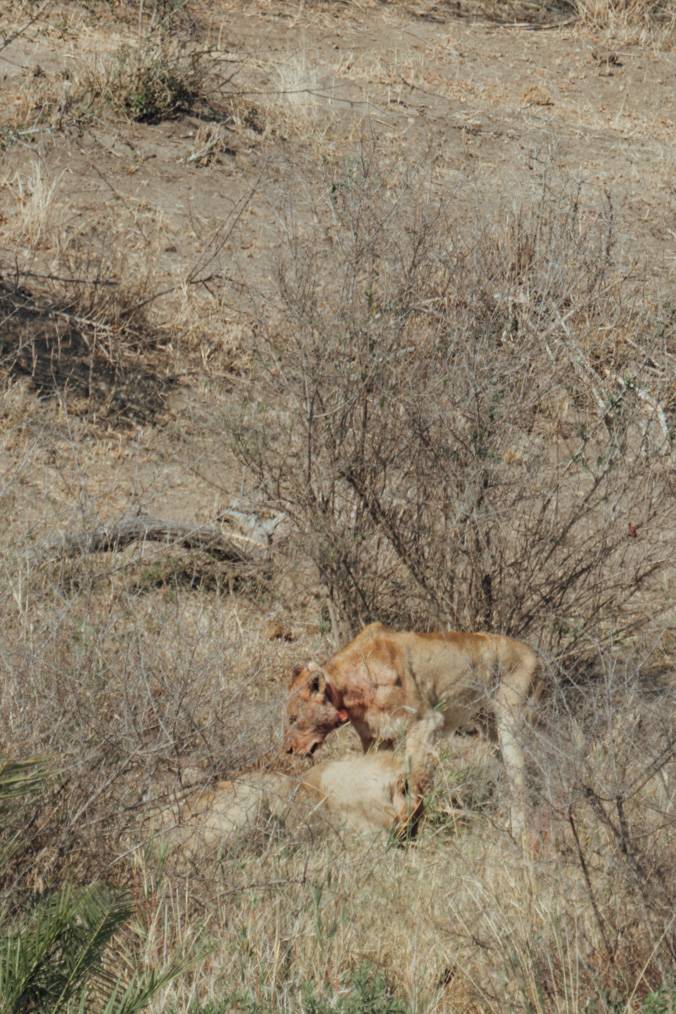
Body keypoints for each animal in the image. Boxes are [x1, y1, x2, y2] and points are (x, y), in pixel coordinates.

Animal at [283, 620, 539, 835]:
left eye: (293, 718)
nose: (288, 750)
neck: (349, 688)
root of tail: (533, 653)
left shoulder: (426, 722)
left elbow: (416, 777)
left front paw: (414, 825)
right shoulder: (376, 738)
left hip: (510, 719)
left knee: (519, 772)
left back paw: (518, 830)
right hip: (489, 727)